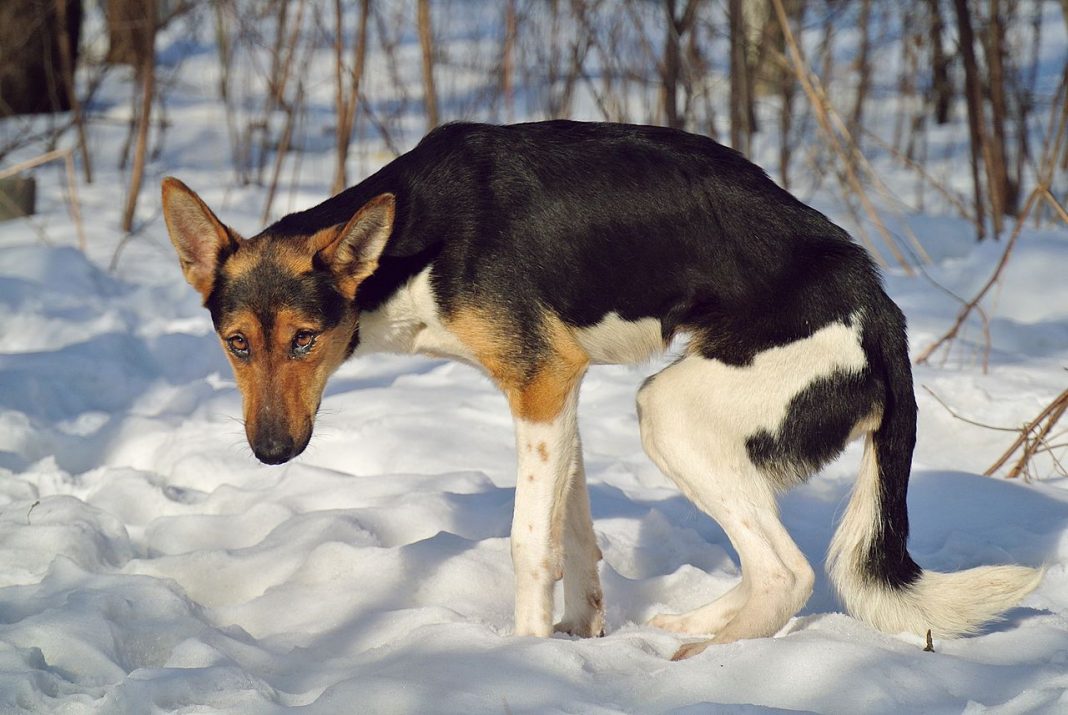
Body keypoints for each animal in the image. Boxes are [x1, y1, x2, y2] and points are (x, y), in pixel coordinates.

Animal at [162, 121, 1038, 658]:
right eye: (237, 345)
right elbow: (576, 536)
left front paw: (521, 658)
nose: (272, 452)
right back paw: (695, 623)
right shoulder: (561, 388)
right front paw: (579, 642)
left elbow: (530, 542)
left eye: (304, 340)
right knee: (764, 566)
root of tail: (878, 301)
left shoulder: (541, 383)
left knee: (786, 572)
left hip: (671, 413)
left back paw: (705, 661)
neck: (415, 239)